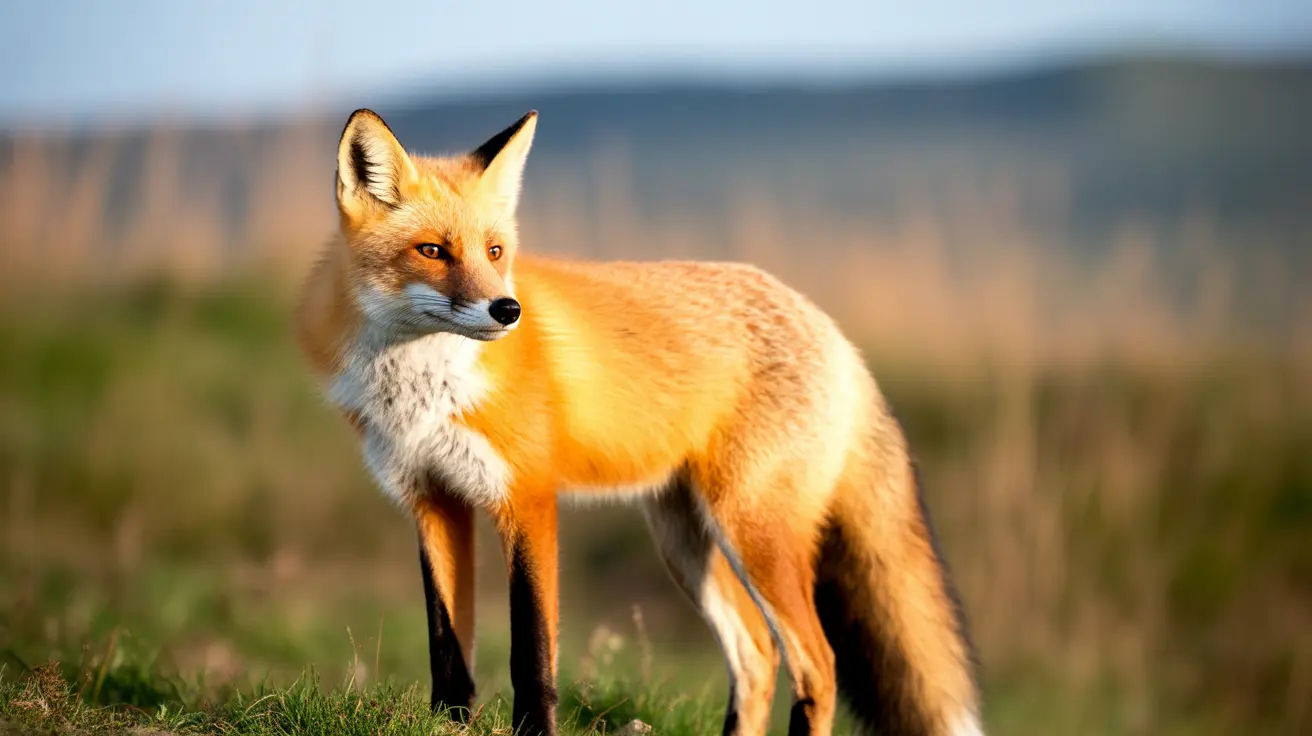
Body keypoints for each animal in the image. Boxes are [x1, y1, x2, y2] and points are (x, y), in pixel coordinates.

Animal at [294, 108, 982, 736]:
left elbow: (531, 651)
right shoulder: (434, 500)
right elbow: (448, 644)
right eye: (432, 251)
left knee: (818, 663)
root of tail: (832, 329)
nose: (507, 310)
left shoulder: (528, 500)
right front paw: (451, 722)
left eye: (494, 251)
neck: (422, 388)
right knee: (758, 656)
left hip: (752, 531)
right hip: (685, 541)